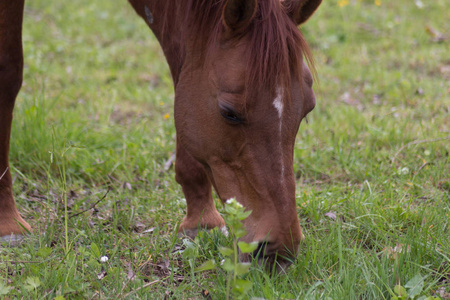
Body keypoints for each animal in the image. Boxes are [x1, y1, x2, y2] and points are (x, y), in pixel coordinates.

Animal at [1, 0, 322, 270]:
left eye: (308, 108)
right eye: (229, 112)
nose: (281, 249)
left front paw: (200, 220)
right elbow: (9, 74)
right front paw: (8, 224)